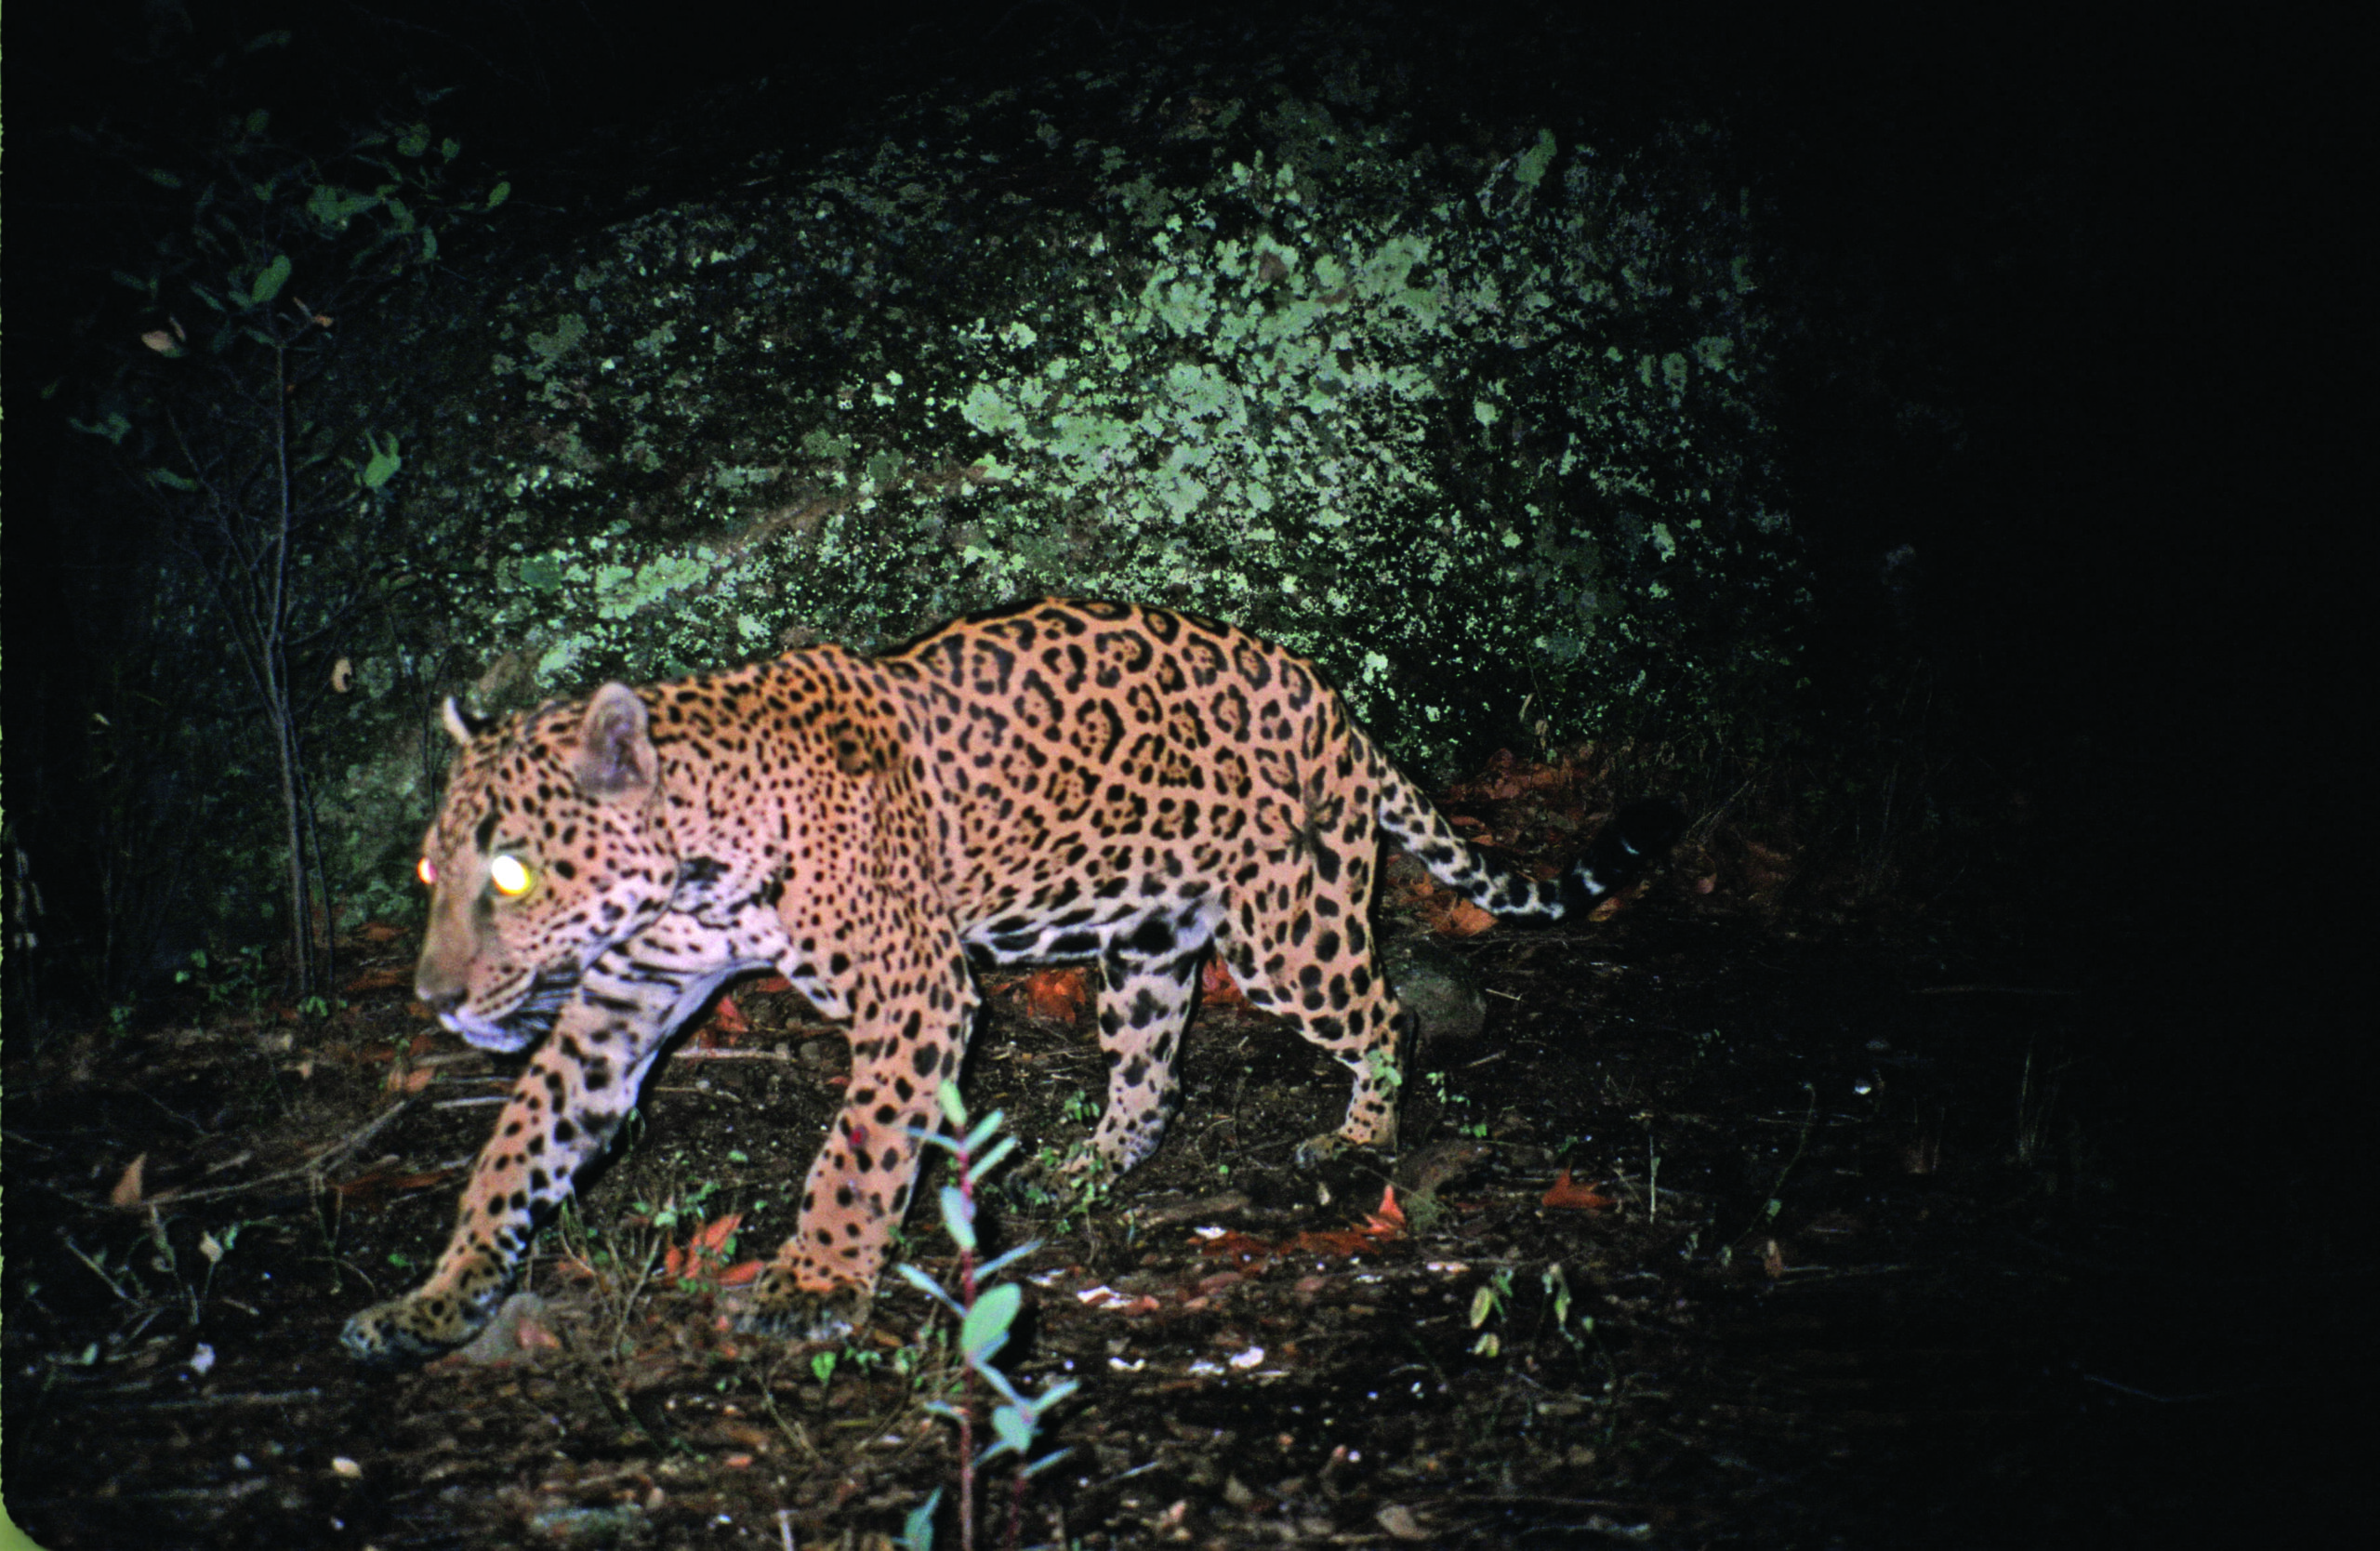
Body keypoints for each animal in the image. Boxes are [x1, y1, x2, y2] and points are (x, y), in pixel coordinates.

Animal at [341, 598, 1680, 1365]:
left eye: (513, 874)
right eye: (431, 870)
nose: (433, 1003)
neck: (699, 857)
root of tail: (1327, 698)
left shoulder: (915, 998)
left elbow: (856, 1158)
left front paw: (814, 1284)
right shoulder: (618, 1003)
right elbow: (517, 1151)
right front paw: (435, 1302)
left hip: (1286, 929)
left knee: (1383, 1009)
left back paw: (1359, 1138)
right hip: (1147, 943)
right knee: (1154, 1076)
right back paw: (1087, 1164)